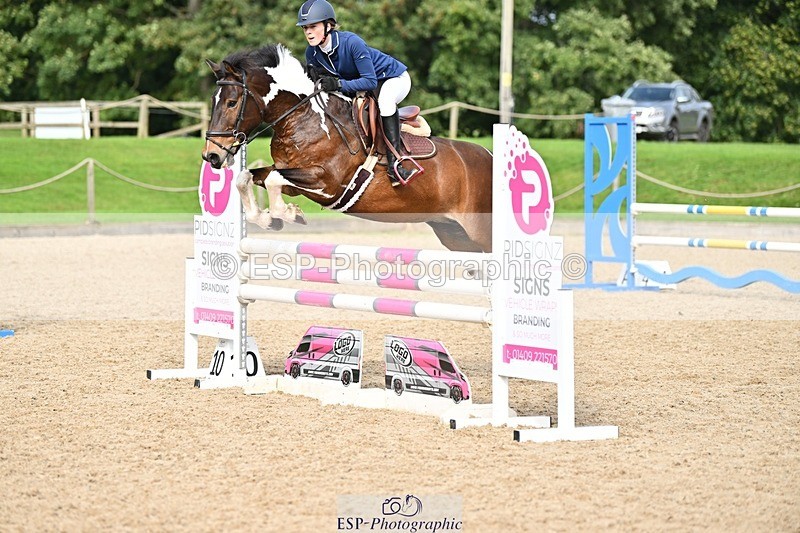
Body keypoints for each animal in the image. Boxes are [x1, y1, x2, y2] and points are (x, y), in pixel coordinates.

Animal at [201, 44, 492, 253]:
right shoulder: (293, 178)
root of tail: (489, 156)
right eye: (214, 101)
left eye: (231, 102)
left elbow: (272, 179)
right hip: (455, 235)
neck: (303, 117)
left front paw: (289, 214)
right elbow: (245, 178)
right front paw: (269, 220)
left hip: (480, 232)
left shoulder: (326, 182)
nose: (212, 156)